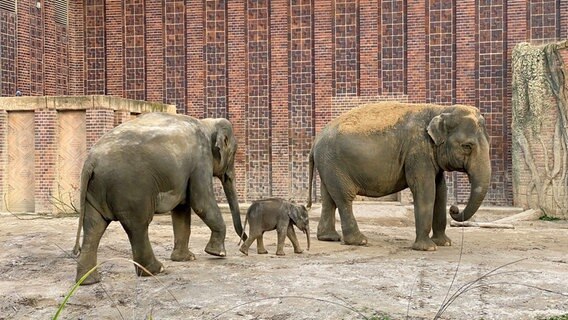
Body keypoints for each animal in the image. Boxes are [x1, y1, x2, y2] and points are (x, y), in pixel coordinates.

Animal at [73, 111, 246, 284]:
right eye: (233, 154)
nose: (243, 247)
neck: (207, 123)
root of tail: (90, 162)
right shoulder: (201, 160)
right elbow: (201, 203)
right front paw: (217, 253)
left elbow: (181, 210)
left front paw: (186, 258)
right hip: (131, 188)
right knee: (137, 225)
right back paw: (156, 270)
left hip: (96, 189)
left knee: (93, 227)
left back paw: (88, 281)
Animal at [308, 102, 490, 250]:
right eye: (467, 146)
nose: (454, 209)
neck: (440, 110)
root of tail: (315, 141)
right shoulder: (417, 151)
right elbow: (425, 190)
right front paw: (428, 248)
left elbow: (441, 191)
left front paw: (444, 243)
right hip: (334, 163)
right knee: (344, 197)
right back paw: (360, 241)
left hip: (328, 164)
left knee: (329, 198)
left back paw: (329, 238)